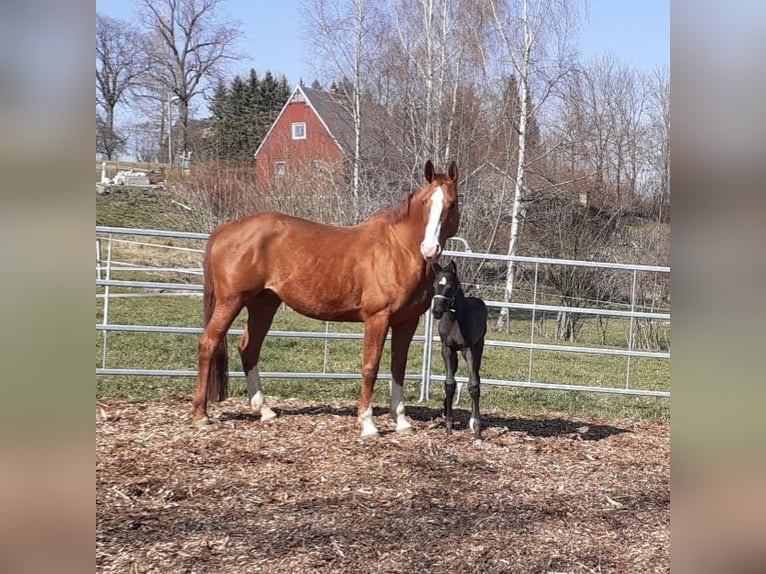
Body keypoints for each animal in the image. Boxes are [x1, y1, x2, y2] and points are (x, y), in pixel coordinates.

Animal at [192, 160, 460, 438]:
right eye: (425, 203)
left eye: (452, 204)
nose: (429, 250)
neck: (398, 249)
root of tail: (226, 229)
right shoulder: (377, 318)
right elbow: (370, 367)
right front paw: (367, 424)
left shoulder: (406, 322)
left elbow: (398, 367)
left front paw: (402, 421)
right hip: (231, 301)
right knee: (208, 343)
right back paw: (201, 415)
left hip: (263, 304)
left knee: (249, 348)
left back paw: (264, 410)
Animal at [436, 262, 488, 440]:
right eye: (435, 285)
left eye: (451, 287)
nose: (436, 310)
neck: (454, 321)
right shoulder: (447, 349)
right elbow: (449, 384)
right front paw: (449, 426)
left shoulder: (468, 349)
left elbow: (473, 386)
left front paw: (477, 429)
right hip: (456, 355)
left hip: (479, 346)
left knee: (476, 377)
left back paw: (473, 421)